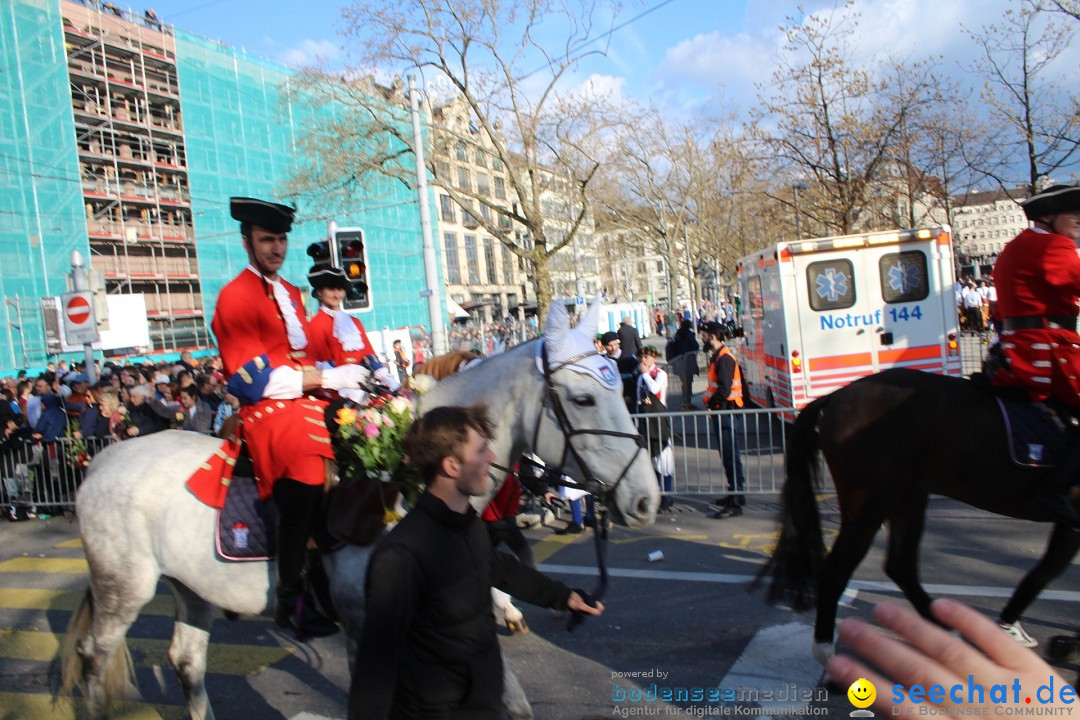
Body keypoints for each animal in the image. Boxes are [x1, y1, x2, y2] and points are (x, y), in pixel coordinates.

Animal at [63, 297, 660, 716]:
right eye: (583, 398)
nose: (646, 498)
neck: (408, 473)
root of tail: (101, 461)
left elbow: (511, 695)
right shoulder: (363, 625)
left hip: (192, 589)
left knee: (186, 663)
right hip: (123, 589)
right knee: (92, 659)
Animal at [764, 369, 1075, 669]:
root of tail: (837, 395)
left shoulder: (1069, 523)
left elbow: (1047, 569)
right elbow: (1049, 569)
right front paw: (1063, 644)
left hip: (907, 499)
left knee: (900, 566)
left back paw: (946, 632)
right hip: (870, 507)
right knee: (836, 572)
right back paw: (828, 654)